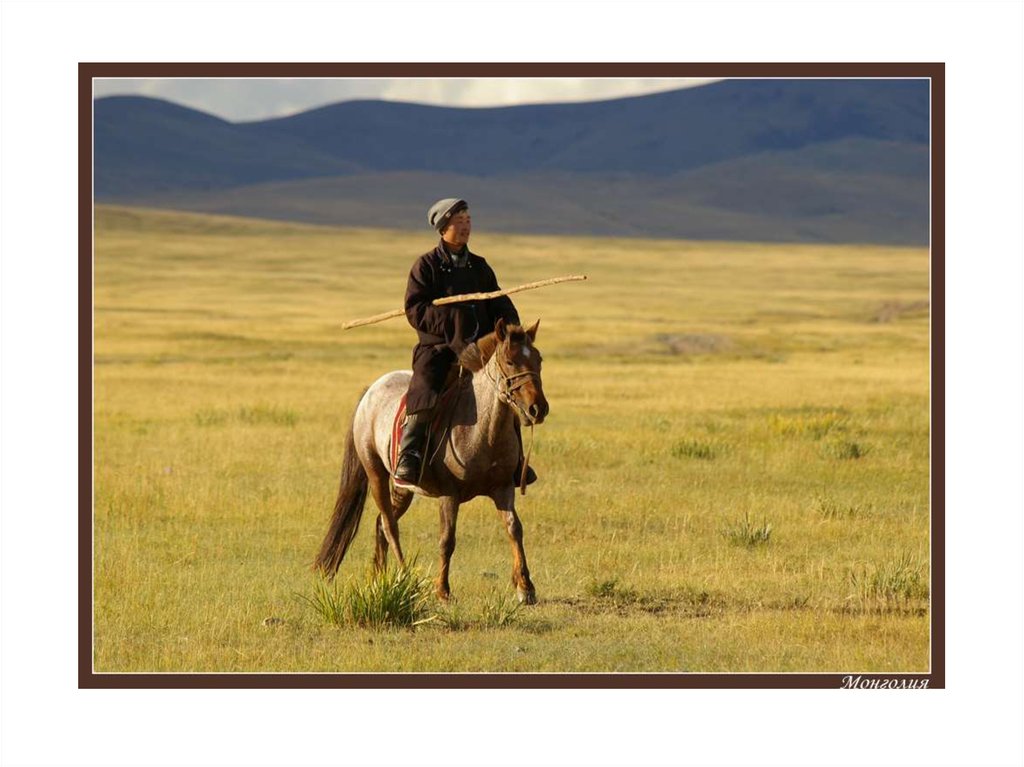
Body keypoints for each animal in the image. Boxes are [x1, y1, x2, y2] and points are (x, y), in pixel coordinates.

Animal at [313, 317, 548, 606]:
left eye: (538, 359)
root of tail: (371, 390)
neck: (484, 431)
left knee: (381, 523)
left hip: (403, 486)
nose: (538, 408)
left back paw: (380, 577)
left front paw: (525, 586)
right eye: (510, 361)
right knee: (389, 525)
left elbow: (514, 529)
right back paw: (405, 576)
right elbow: (447, 539)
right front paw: (443, 590)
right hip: (375, 473)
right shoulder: (449, 494)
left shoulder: (503, 488)